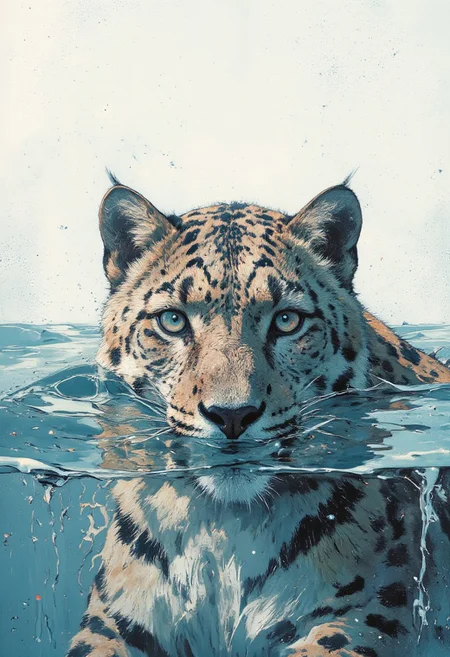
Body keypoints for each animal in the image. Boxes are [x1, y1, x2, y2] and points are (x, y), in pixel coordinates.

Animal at [66, 175, 450, 657]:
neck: (221, 535)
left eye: (287, 320)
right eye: (172, 321)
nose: (232, 415)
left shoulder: (365, 614)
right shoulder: (114, 620)